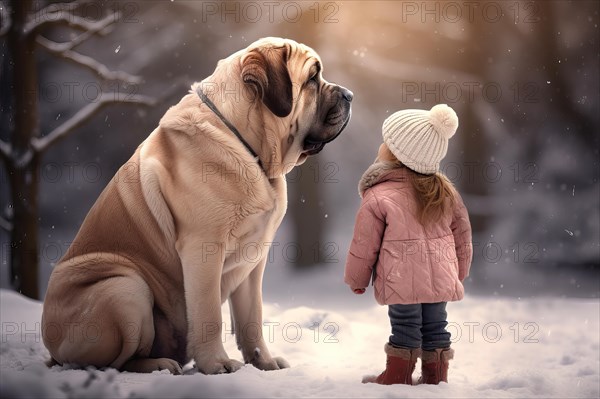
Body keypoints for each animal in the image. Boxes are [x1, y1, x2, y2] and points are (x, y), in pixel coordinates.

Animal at [42, 36, 354, 376]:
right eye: (312, 78)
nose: (349, 95)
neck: (246, 143)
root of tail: (51, 348)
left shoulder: (253, 261)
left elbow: (252, 318)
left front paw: (264, 363)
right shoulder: (202, 249)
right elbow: (209, 314)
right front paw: (217, 364)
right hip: (124, 287)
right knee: (113, 363)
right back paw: (160, 364)